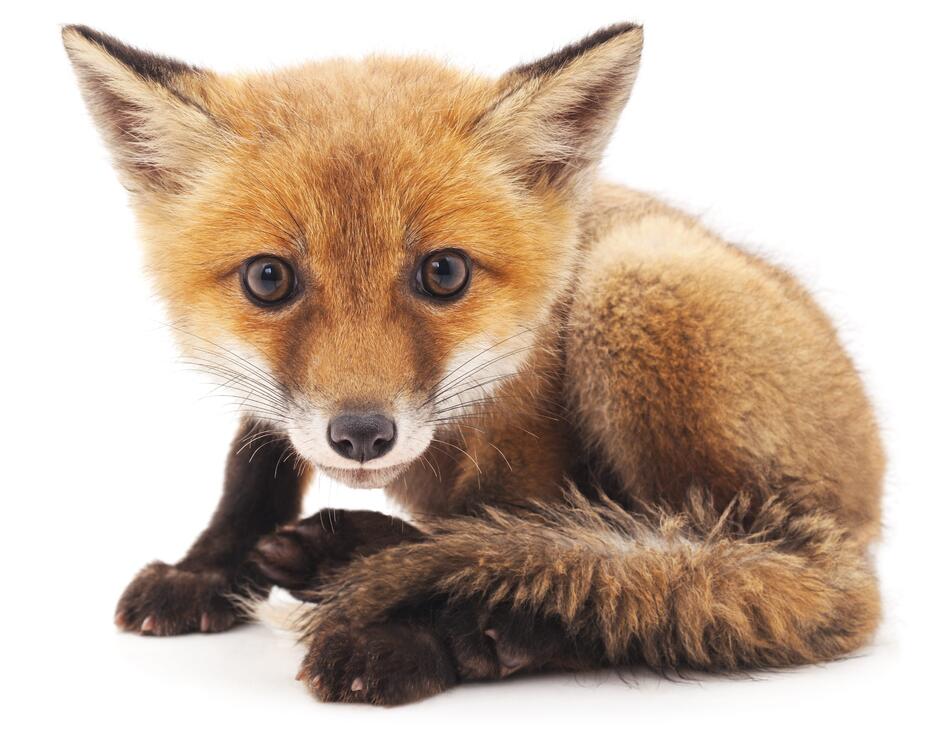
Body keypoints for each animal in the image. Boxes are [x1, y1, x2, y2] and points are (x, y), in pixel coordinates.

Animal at [62, 22, 884, 705]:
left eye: (444, 273)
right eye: (269, 279)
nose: (361, 435)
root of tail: (858, 530)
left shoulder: (527, 457)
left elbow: (527, 546)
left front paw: (417, 632)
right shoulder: (275, 406)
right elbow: (251, 467)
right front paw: (207, 566)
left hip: (633, 284)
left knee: (714, 585)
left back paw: (458, 625)